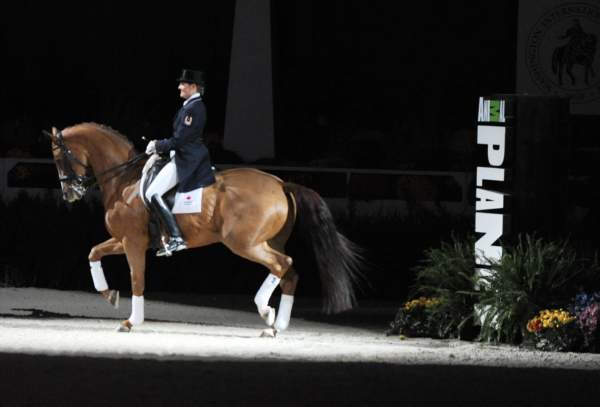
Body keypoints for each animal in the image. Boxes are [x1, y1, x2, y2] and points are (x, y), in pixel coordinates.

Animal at [44, 124, 364, 338]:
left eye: (60, 157)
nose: (70, 194)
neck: (125, 180)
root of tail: (281, 183)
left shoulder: (133, 241)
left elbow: (137, 279)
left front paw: (131, 321)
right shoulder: (123, 240)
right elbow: (93, 253)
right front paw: (109, 294)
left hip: (245, 243)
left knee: (282, 265)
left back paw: (266, 312)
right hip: (270, 241)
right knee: (289, 274)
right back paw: (276, 326)